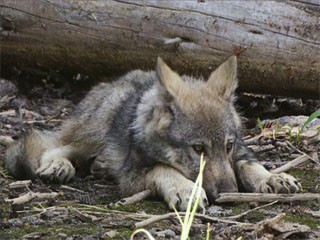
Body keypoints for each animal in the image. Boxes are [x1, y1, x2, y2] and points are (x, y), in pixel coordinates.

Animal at [3, 56, 302, 210]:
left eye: (227, 146)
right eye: (198, 149)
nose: (229, 194)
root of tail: (112, 81)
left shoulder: (239, 151)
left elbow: (250, 163)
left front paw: (273, 177)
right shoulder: (133, 176)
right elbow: (163, 169)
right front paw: (186, 189)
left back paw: (100, 165)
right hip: (97, 127)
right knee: (55, 145)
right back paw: (59, 166)